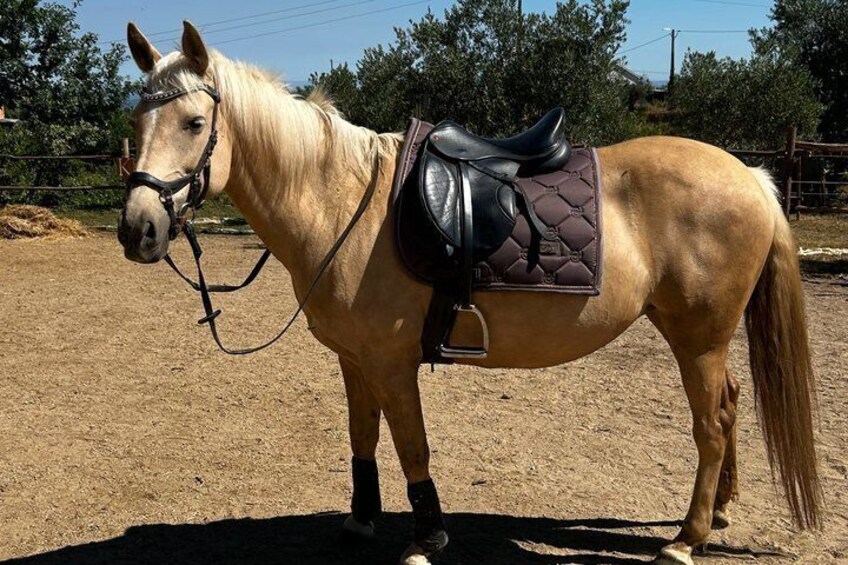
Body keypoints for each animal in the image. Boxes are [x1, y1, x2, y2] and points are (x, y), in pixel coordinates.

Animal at [117, 21, 822, 565]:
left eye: (194, 121)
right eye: (136, 120)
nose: (137, 229)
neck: (342, 201)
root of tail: (752, 176)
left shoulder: (393, 363)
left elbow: (411, 444)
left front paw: (426, 539)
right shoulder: (354, 360)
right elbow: (362, 435)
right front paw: (359, 521)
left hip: (697, 336)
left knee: (713, 424)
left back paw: (684, 539)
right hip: (702, 337)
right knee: (729, 407)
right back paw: (719, 513)